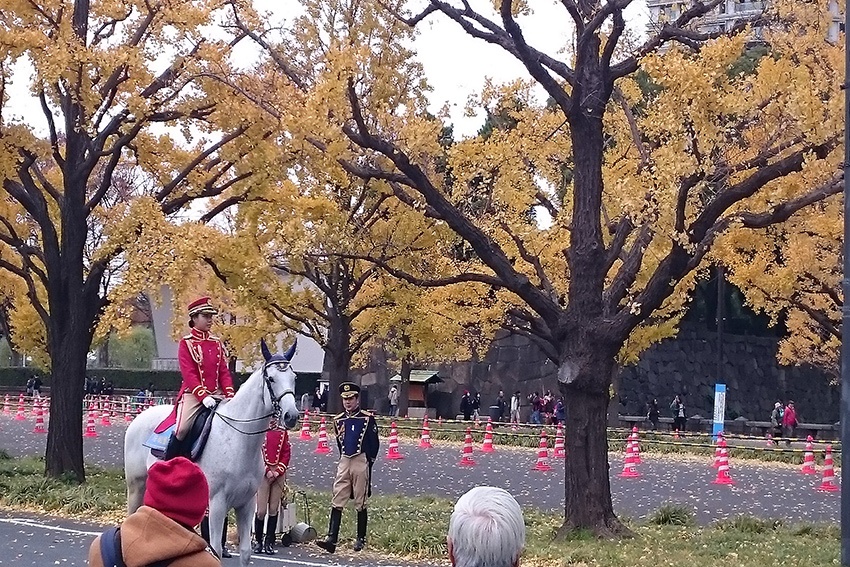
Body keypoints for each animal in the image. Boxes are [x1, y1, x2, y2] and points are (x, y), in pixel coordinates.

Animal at [122, 340, 298, 564]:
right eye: (271, 379)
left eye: (294, 377)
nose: (291, 415)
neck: (239, 439)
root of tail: (140, 415)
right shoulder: (217, 503)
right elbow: (216, 549)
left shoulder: (247, 504)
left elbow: (245, 552)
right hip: (136, 486)